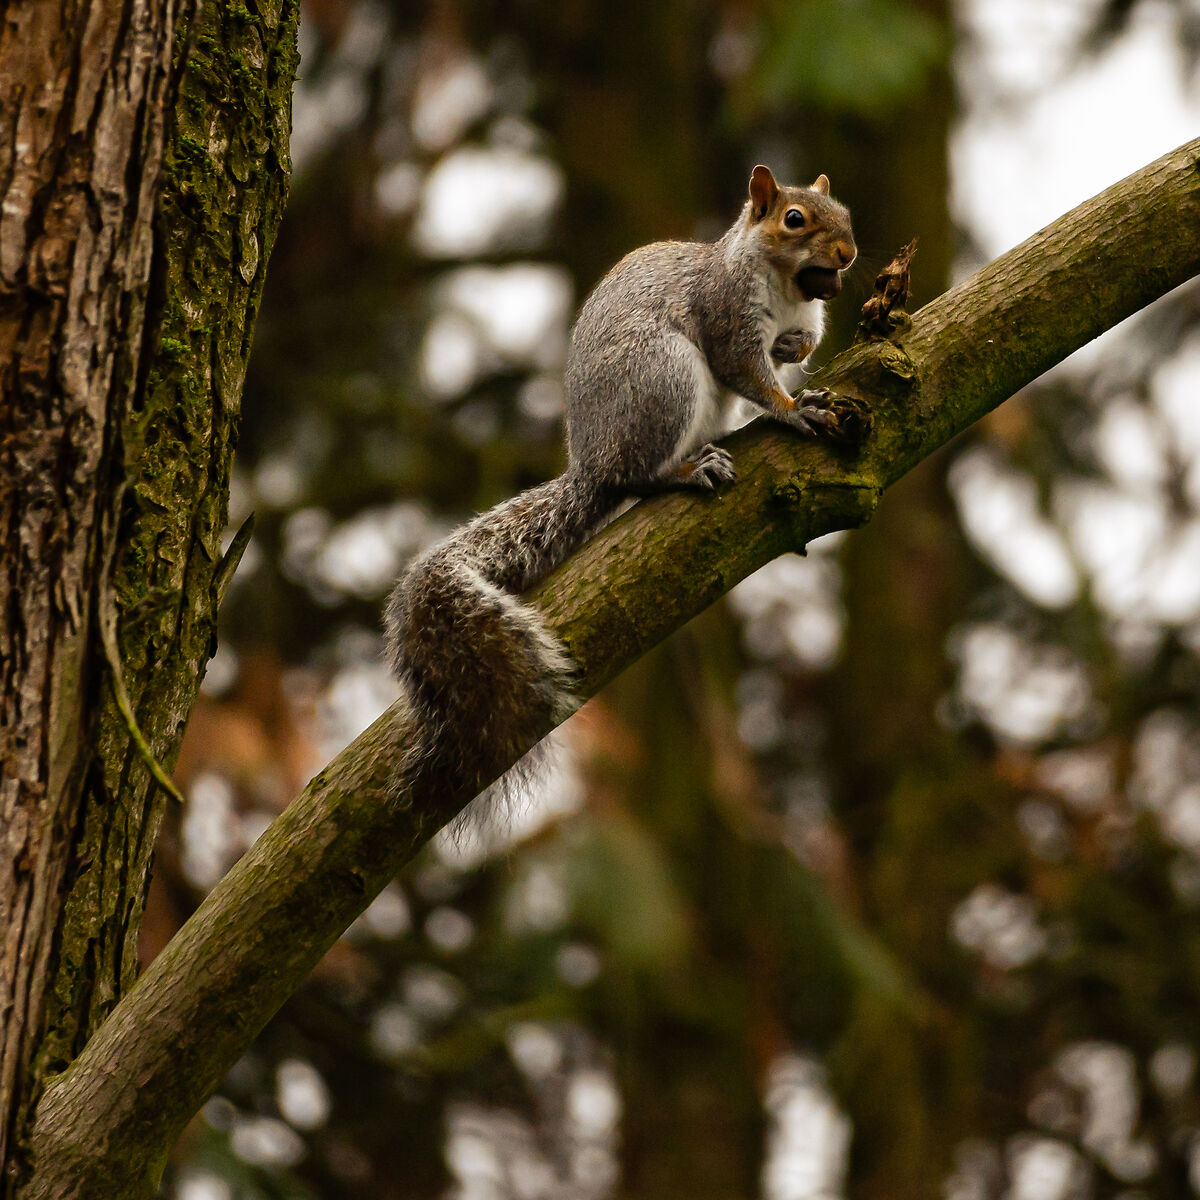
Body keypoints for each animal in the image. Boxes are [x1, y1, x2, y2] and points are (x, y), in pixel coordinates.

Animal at [386, 165, 857, 800]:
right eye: (794, 219)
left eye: (846, 215)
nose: (849, 254)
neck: (788, 290)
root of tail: (592, 464)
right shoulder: (726, 316)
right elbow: (746, 373)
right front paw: (791, 409)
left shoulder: (807, 317)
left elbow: (802, 343)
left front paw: (795, 351)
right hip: (663, 376)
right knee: (639, 477)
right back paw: (685, 471)